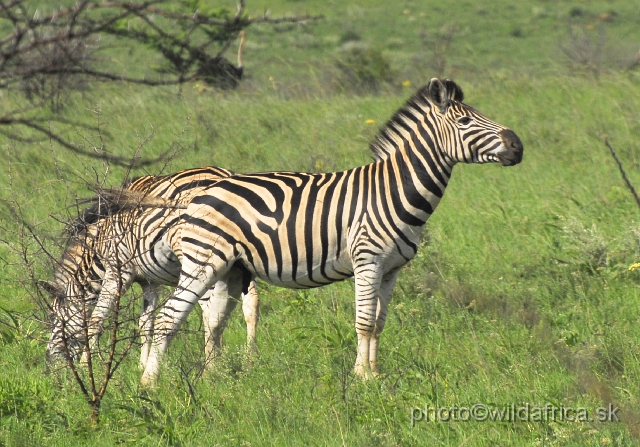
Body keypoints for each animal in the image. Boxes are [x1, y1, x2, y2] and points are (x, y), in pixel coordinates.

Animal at [42, 168, 260, 372]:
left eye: (54, 318)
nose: (49, 363)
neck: (99, 246)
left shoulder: (117, 271)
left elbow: (96, 320)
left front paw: (86, 366)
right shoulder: (150, 281)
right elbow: (145, 324)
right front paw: (142, 365)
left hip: (200, 260)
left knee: (209, 312)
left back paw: (212, 365)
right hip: (241, 262)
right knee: (250, 304)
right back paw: (248, 359)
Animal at [138, 77, 524, 384]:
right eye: (464, 121)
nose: (518, 145)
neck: (393, 189)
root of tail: (202, 191)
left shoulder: (391, 270)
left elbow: (379, 323)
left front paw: (376, 374)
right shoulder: (368, 261)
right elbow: (364, 322)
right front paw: (362, 377)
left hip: (230, 270)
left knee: (214, 322)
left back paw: (213, 379)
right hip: (203, 262)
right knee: (169, 317)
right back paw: (150, 382)